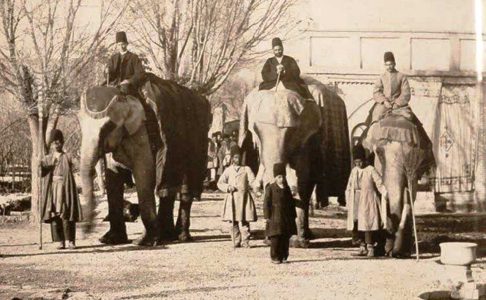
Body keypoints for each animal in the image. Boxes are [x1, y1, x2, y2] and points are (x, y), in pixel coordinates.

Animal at [79, 73, 210, 246]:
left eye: (107, 127)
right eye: (80, 125)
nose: (85, 233)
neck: (124, 93)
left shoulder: (142, 133)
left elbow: (144, 173)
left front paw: (144, 242)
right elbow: (113, 175)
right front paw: (109, 240)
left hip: (198, 145)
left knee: (185, 188)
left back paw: (180, 237)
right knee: (167, 190)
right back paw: (167, 237)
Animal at [239, 79, 350, 246]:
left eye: (291, 132)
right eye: (255, 130)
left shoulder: (309, 137)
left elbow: (302, 177)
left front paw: (297, 243)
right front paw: (271, 239)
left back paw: (306, 236)